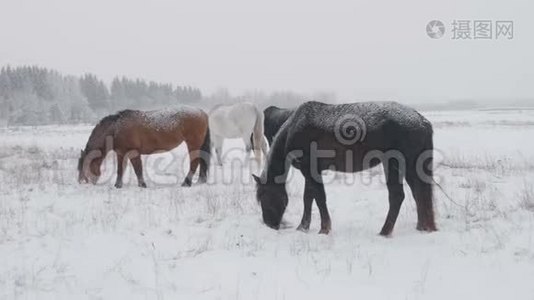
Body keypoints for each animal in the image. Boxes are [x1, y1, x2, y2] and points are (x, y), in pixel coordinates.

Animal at [77, 106, 211, 188]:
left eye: (83, 165)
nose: (81, 182)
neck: (116, 128)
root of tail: (202, 112)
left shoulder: (134, 152)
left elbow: (138, 170)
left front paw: (142, 185)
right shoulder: (121, 153)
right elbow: (120, 170)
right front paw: (118, 185)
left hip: (192, 144)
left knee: (194, 162)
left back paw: (186, 183)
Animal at [253, 101, 438, 237]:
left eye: (264, 196)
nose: (270, 224)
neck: (294, 127)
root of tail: (422, 121)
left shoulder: (310, 170)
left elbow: (319, 198)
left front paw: (324, 229)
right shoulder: (311, 172)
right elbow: (309, 198)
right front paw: (303, 227)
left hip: (395, 163)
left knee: (398, 196)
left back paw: (385, 232)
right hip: (408, 167)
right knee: (418, 194)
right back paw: (421, 227)